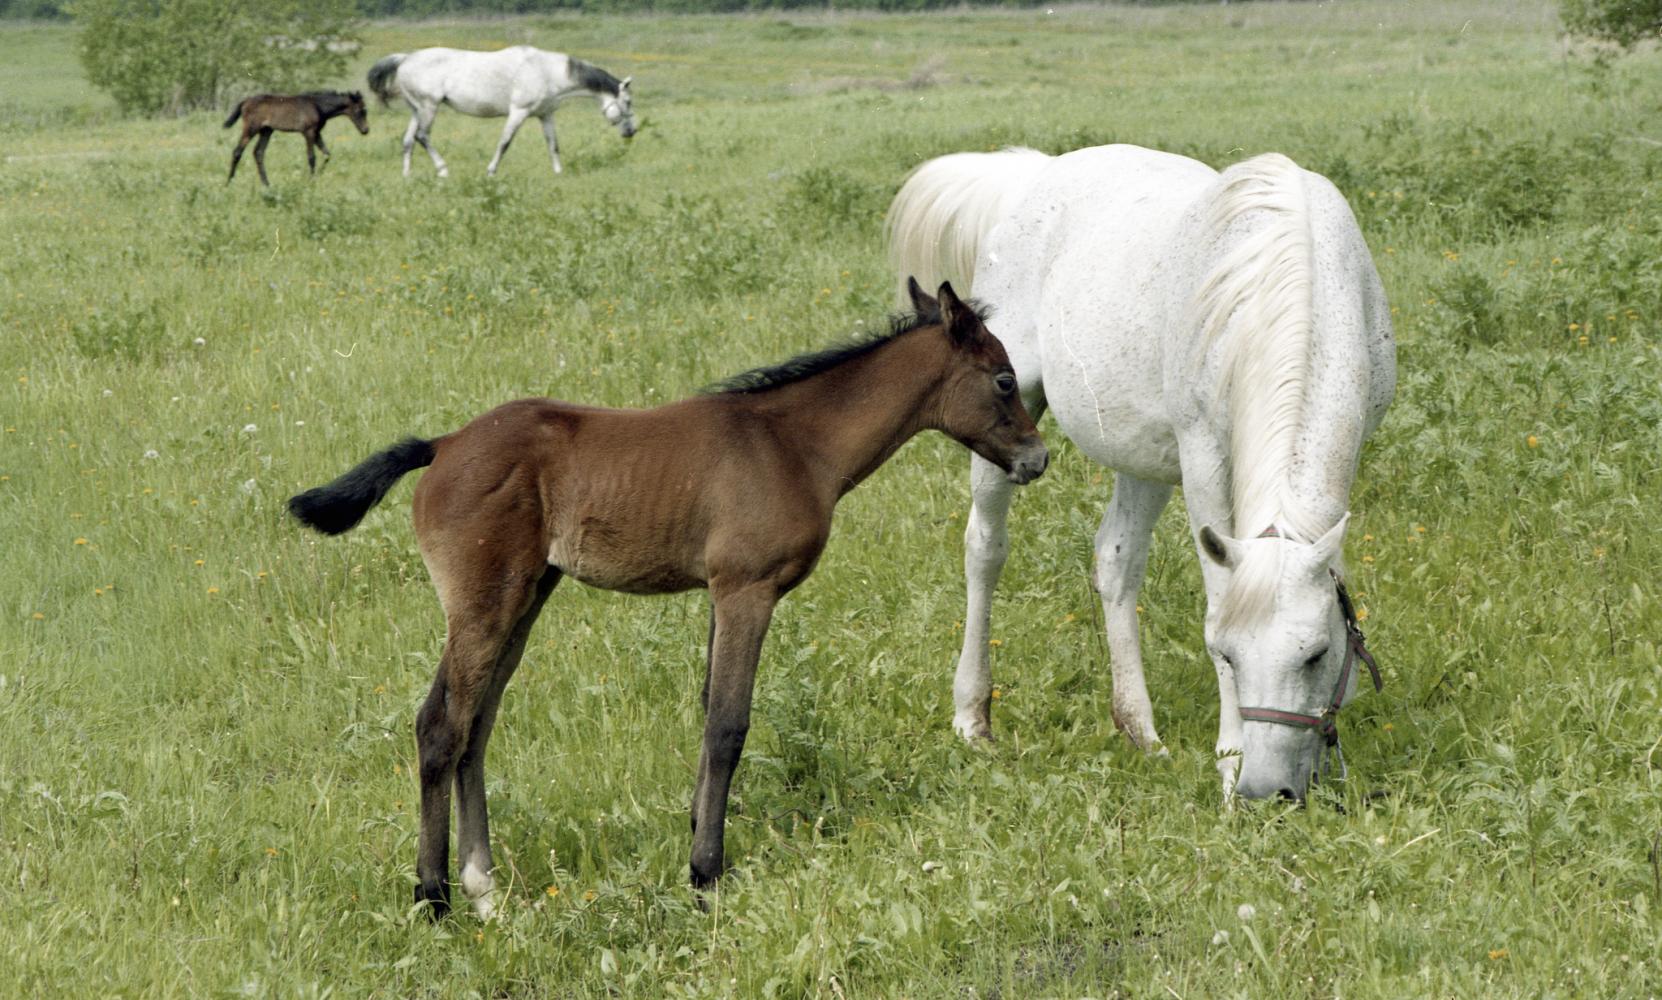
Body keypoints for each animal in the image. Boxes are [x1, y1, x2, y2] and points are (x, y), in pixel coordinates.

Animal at [223, 91, 369, 187]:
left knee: (258, 152)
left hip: (266, 130)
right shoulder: (308, 132)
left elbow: (327, 154)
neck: (317, 106)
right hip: (251, 128)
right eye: (360, 110)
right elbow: (311, 157)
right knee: (237, 151)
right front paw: (311, 181)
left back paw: (267, 184)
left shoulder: (317, 133)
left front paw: (319, 175)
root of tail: (245, 101)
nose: (366, 130)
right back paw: (229, 182)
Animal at [287, 281, 1048, 918]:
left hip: (525, 597)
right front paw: (706, 872)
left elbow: (709, 711)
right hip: (483, 603)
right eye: (1004, 378)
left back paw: (484, 885)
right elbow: (728, 724)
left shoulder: (719, 593)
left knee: (478, 722)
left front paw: (696, 837)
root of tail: (442, 446)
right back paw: (434, 894)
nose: (1037, 459)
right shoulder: (747, 589)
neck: (793, 444)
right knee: (441, 724)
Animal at [366, 45, 636, 179]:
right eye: (628, 102)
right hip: (429, 107)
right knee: (422, 137)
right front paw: (491, 172)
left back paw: (407, 175)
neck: (546, 71)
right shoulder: (518, 113)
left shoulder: (545, 115)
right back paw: (443, 170)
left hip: (417, 110)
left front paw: (559, 173)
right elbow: (504, 143)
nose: (631, 131)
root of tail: (405, 59)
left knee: (408, 141)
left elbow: (553, 145)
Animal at [887, 145, 1395, 802]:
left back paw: (1139, 728)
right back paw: (973, 716)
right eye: (1227, 655)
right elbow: (1218, 599)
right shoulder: (1204, 459)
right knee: (985, 548)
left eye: (1317, 654)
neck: (1291, 278)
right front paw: (1229, 758)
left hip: (1145, 459)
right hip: (1008, 422)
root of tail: (1037, 173)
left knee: (1115, 562)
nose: (1264, 792)